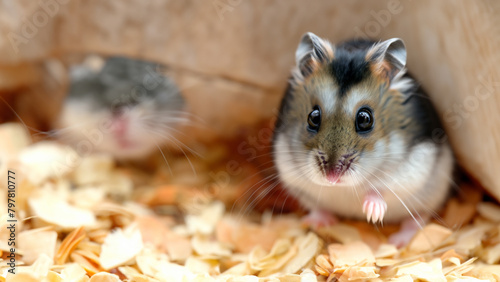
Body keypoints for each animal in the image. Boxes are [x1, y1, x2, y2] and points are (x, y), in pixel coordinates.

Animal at [272, 32, 456, 245]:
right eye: (313, 117)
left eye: (365, 119)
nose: (332, 178)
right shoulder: (290, 171)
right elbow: (313, 197)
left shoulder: (414, 167)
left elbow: (381, 189)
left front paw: (372, 214)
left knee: (418, 218)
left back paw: (398, 241)